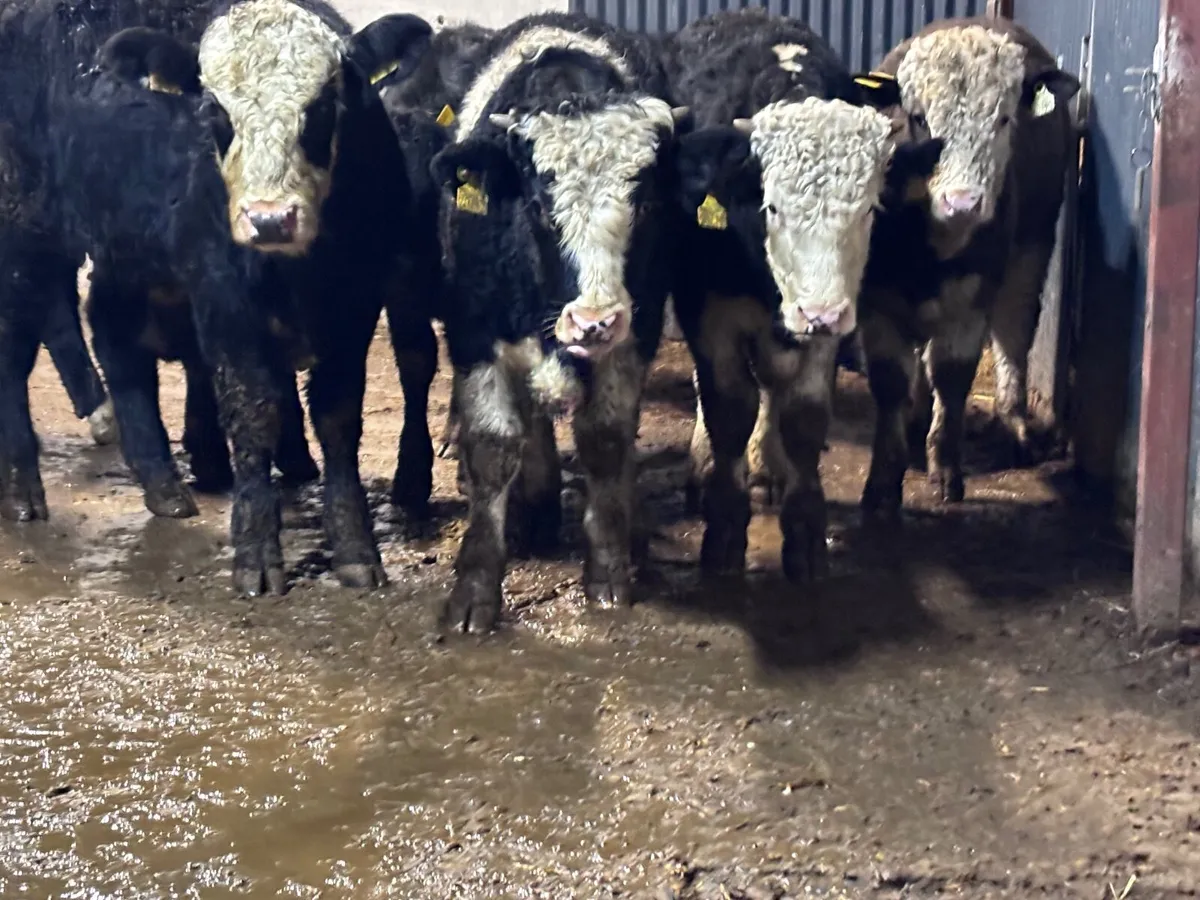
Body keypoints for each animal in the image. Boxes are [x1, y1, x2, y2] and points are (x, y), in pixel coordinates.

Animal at [8, 0, 439, 592]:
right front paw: (255, 550)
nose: (270, 219)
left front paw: (354, 546)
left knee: (114, 338)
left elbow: (337, 416)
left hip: (123, 251)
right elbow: (253, 409)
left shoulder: (356, 301)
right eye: (214, 111)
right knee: (15, 353)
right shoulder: (223, 300)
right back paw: (22, 491)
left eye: (325, 105)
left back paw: (162, 483)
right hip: (25, 241)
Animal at [427, 13, 686, 633]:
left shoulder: (633, 339)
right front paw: (475, 587)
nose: (594, 321)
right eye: (539, 208)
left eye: (646, 206)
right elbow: (493, 446)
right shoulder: (474, 333)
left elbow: (606, 440)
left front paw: (609, 570)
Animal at [662, 9, 918, 581]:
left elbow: (802, 417)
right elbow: (728, 409)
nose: (818, 311)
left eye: (869, 209)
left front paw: (804, 535)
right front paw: (724, 532)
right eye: (772, 207)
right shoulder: (709, 311)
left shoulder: (831, 318)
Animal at [857, 19, 1080, 517]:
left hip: (1031, 247)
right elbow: (890, 382)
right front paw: (882, 481)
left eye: (1003, 119)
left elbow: (953, 378)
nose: (962, 202)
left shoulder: (971, 298)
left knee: (1014, 332)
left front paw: (945, 471)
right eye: (918, 118)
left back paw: (1014, 424)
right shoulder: (877, 300)